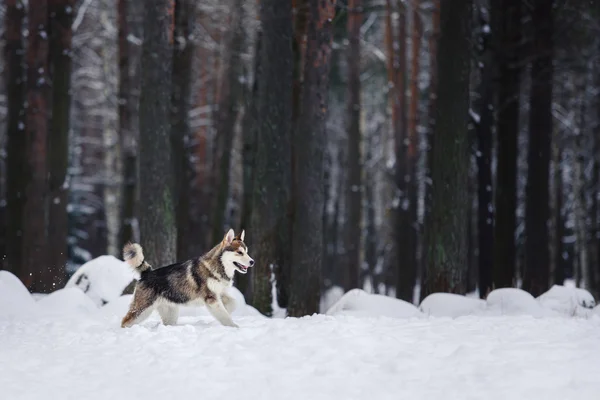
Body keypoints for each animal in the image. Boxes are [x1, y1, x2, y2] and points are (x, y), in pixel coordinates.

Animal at [122, 228, 253, 328]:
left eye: (246, 251)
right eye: (239, 252)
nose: (252, 262)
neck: (218, 267)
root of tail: (147, 272)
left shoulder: (219, 293)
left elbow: (232, 304)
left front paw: (227, 311)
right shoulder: (211, 298)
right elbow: (225, 316)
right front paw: (234, 327)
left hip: (170, 314)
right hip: (141, 310)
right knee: (125, 321)